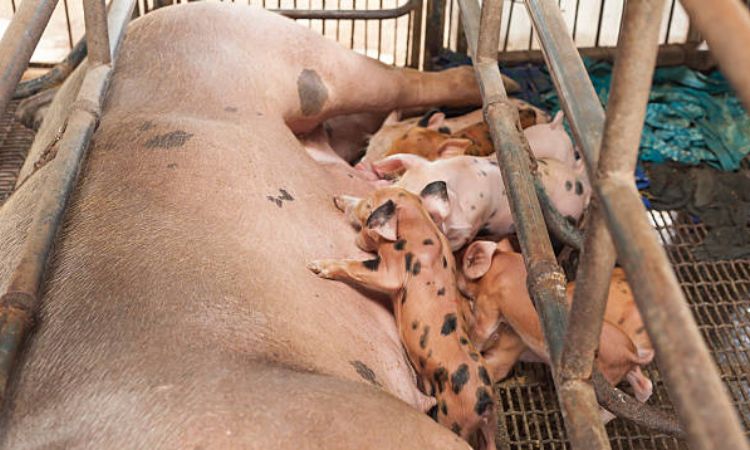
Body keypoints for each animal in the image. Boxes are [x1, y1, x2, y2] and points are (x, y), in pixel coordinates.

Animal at [308, 186, 498, 449]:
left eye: (370, 204)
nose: (337, 199)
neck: (419, 223)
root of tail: (486, 403)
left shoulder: (392, 271)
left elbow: (360, 267)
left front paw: (315, 266)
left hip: (455, 417)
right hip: (489, 426)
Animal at [457, 240, 655, 404]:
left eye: (461, 258)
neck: (498, 268)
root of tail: (630, 353)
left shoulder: (488, 303)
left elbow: (482, 331)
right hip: (624, 367)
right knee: (645, 385)